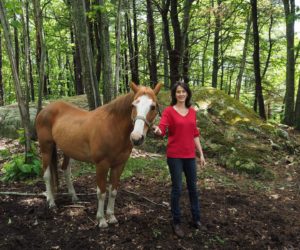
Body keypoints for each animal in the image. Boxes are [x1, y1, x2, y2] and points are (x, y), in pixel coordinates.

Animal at [35, 82, 162, 227]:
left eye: (153, 107)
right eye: (133, 105)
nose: (136, 138)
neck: (113, 128)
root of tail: (44, 110)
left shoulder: (119, 165)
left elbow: (113, 191)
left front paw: (111, 217)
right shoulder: (102, 165)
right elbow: (101, 192)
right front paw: (101, 220)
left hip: (67, 150)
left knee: (66, 170)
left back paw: (74, 197)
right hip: (46, 148)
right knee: (46, 174)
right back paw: (51, 202)